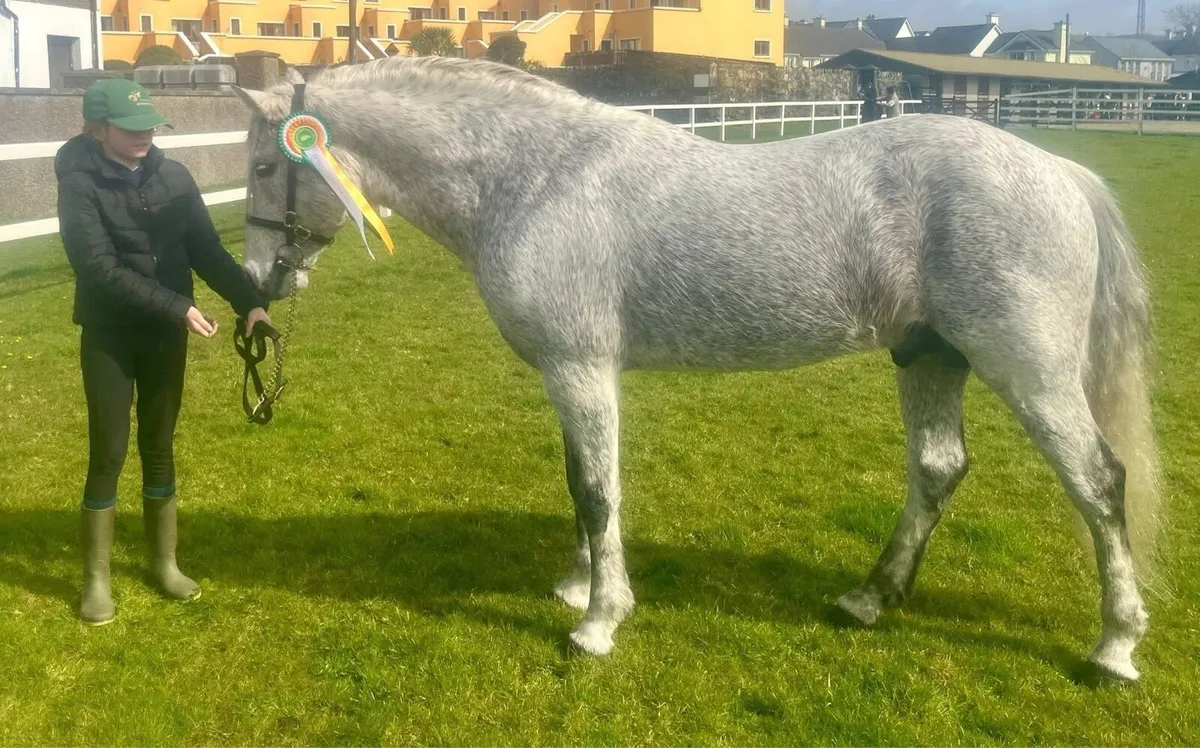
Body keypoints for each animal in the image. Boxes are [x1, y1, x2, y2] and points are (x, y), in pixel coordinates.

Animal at [231, 56, 1161, 682]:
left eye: (265, 164)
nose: (259, 279)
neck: (533, 179)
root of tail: (1059, 171)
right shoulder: (568, 373)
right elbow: (581, 484)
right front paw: (577, 586)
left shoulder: (580, 367)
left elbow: (598, 490)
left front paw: (598, 622)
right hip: (930, 356)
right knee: (938, 468)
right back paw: (868, 599)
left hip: (1029, 371)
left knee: (1099, 483)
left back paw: (1114, 645)